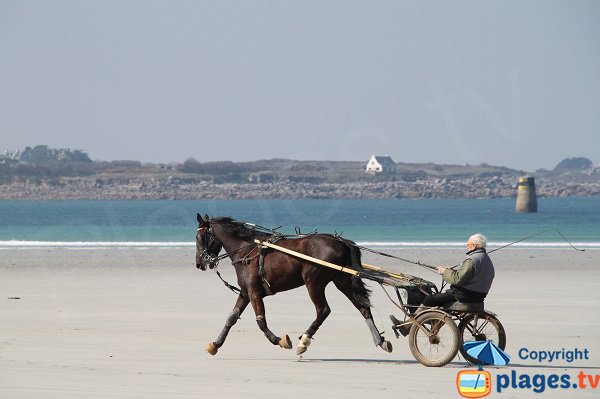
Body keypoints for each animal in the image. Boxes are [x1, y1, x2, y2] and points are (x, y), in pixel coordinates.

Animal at [195, 214, 394, 358]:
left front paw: (280, 340)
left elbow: (261, 321)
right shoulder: (245, 292)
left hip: (313, 282)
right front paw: (215, 344)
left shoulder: (254, 292)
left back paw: (304, 341)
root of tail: (341, 242)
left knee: (323, 310)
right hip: (342, 280)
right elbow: (231, 318)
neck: (247, 249)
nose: (199, 263)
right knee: (362, 307)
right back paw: (379, 339)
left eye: (199, 236)